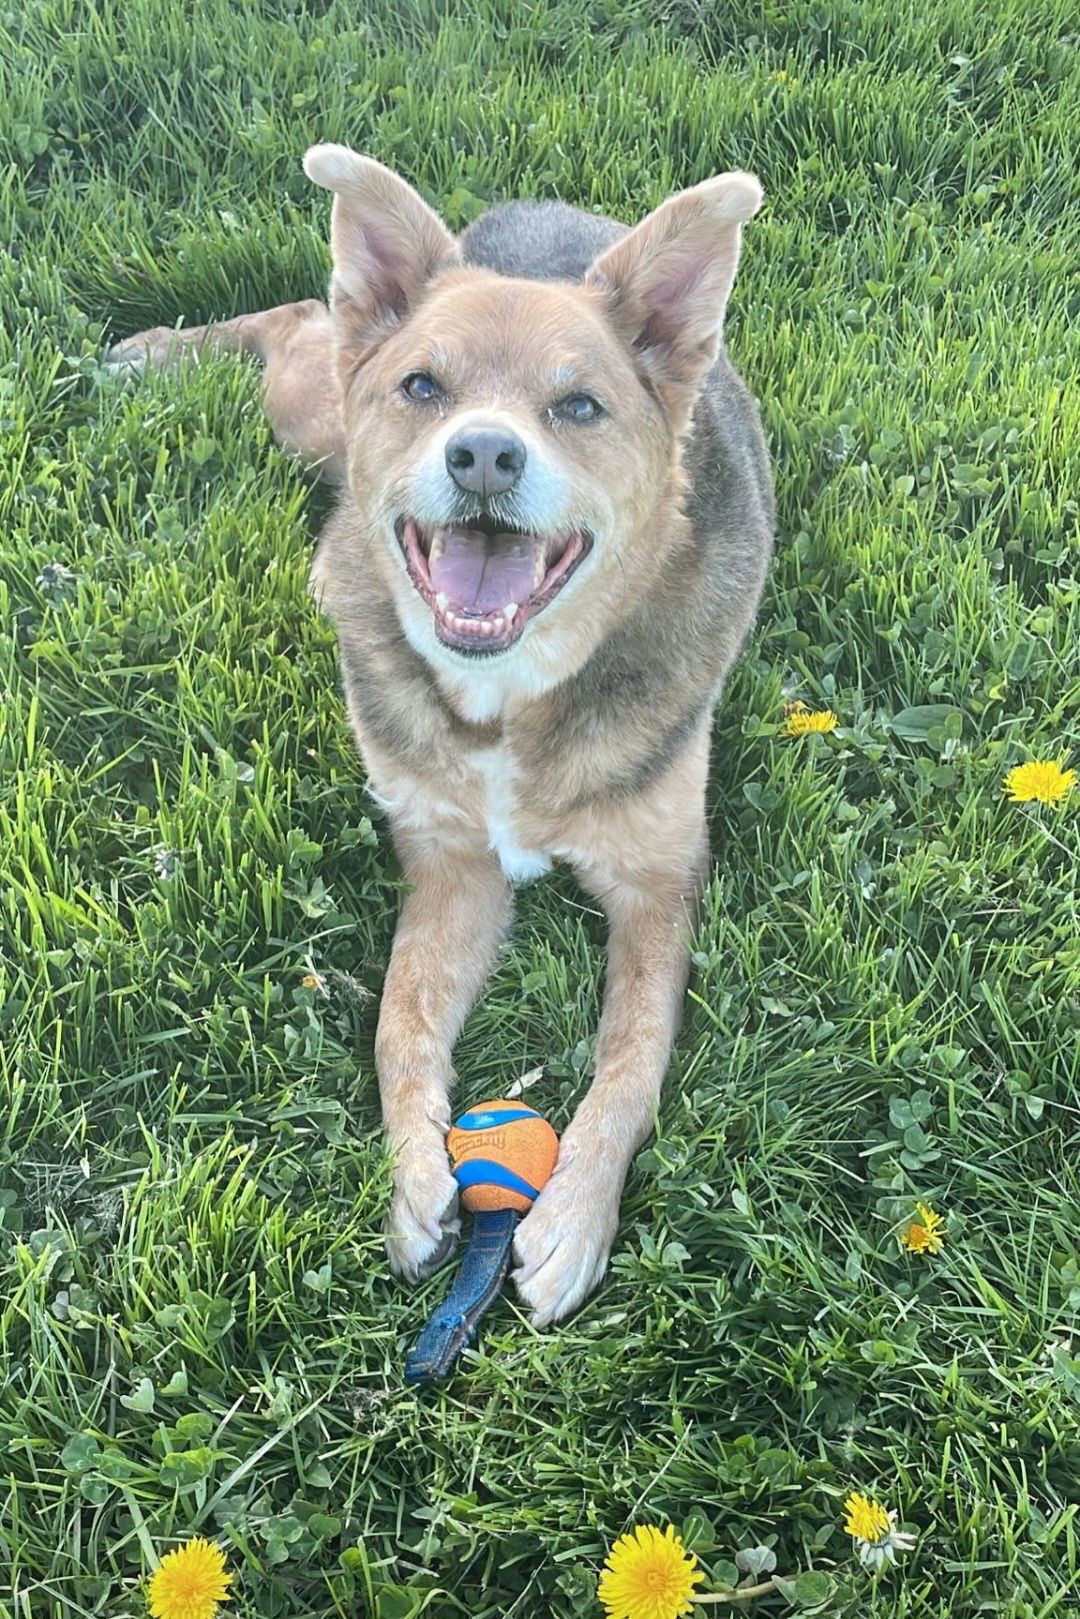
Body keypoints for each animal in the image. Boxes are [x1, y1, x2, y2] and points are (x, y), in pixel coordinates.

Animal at [110, 145, 773, 1321]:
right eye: (425, 386)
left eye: (578, 404)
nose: (484, 457)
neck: (508, 694)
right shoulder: (453, 867)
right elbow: (399, 1020)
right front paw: (414, 1175)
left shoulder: (659, 881)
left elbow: (632, 1053)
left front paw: (574, 1218)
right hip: (313, 411)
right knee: (295, 320)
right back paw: (149, 354)